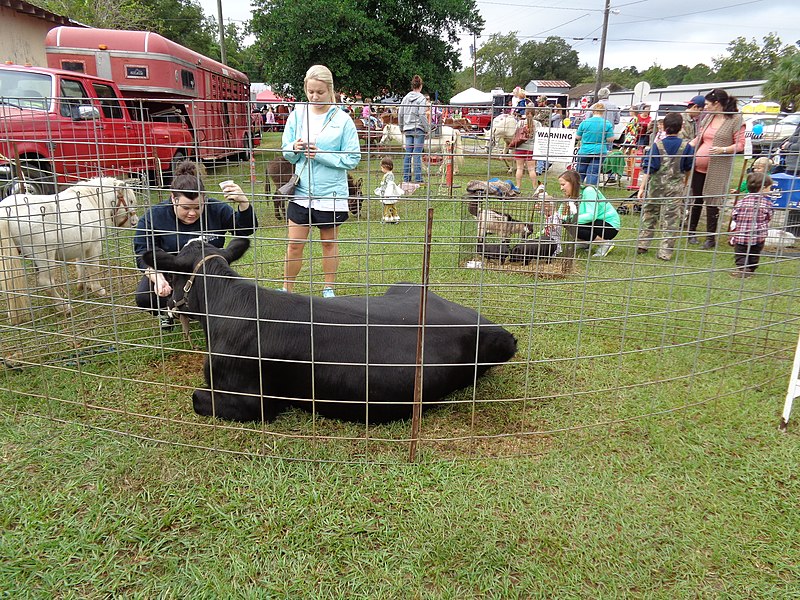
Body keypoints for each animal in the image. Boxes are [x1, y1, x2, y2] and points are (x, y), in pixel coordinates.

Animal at [0, 177, 137, 322]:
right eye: (130, 201)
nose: (135, 221)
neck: (93, 200)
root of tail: (5, 212)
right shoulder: (94, 244)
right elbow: (93, 267)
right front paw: (98, 289)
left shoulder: (83, 246)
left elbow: (81, 266)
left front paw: (83, 285)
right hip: (44, 255)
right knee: (46, 282)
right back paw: (64, 307)